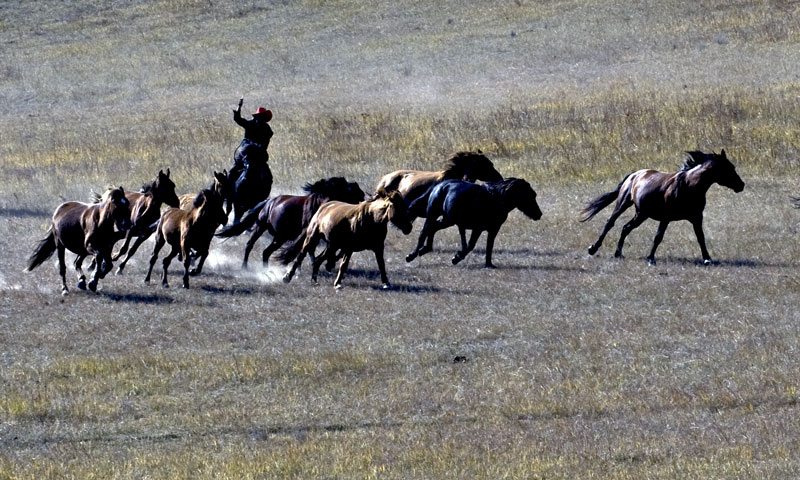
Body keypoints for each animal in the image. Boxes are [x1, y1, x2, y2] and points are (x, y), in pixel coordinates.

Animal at [216, 176, 366, 268]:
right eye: (345, 187)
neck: (319, 205)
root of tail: (268, 202)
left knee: (266, 252)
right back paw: (245, 266)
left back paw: (266, 268)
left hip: (280, 237)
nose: (362, 193)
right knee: (249, 245)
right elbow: (304, 248)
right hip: (260, 227)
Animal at [280, 190, 412, 288]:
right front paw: (337, 284)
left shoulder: (378, 247)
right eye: (396, 206)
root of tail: (323, 206)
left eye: (405, 206)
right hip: (312, 237)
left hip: (332, 245)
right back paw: (287, 277)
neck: (371, 219)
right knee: (301, 256)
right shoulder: (349, 247)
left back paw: (314, 281)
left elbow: (381, 265)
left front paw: (386, 283)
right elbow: (344, 265)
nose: (409, 228)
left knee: (317, 260)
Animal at [406, 177, 544, 268]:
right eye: (529, 196)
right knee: (424, 232)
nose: (539, 214)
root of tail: (439, 185)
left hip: (448, 220)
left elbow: (489, 246)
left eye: (534, 195)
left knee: (433, 228)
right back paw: (412, 255)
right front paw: (456, 258)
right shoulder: (478, 228)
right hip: (433, 215)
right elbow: (470, 245)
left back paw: (425, 249)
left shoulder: (493, 229)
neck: (495, 199)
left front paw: (489, 264)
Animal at [580, 149, 744, 264]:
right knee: (610, 223)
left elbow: (701, 237)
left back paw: (618, 254)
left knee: (626, 228)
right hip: (623, 204)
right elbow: (658, 236)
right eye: (728, 168)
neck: (688, 186)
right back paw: (593, 248)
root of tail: (635, 174)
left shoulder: (697, 218)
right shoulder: (666, 217)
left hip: (642, 214)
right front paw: (651, 259)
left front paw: (707, 259)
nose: (741, 185)